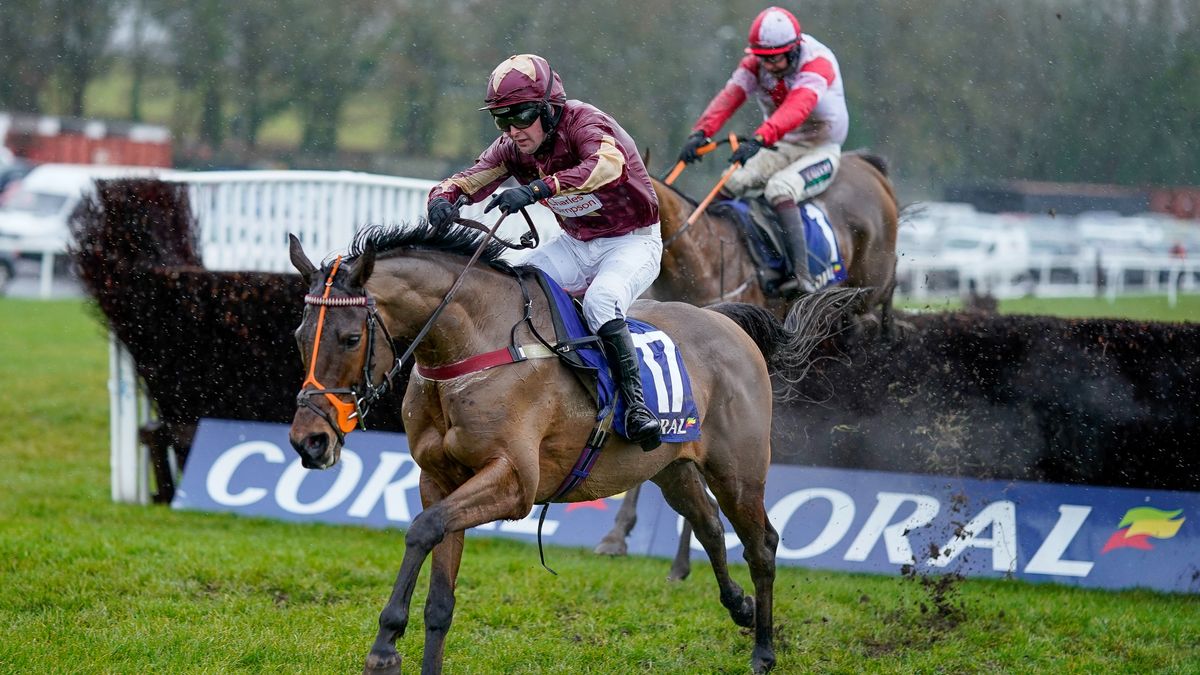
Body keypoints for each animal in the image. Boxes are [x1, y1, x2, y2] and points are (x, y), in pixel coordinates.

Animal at [285, 222, 849, 672]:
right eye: (298, 336)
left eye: (350, 338)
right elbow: (439, 594)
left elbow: (422, 530)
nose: (309, 440)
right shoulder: (439, 480)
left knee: (761, 543)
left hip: (738, 469)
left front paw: (384, 646)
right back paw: (740, 606)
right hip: (670, 466)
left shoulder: (514, 483)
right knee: (709, 523)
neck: (475, 346)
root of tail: (727, 321)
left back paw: (763, 651)